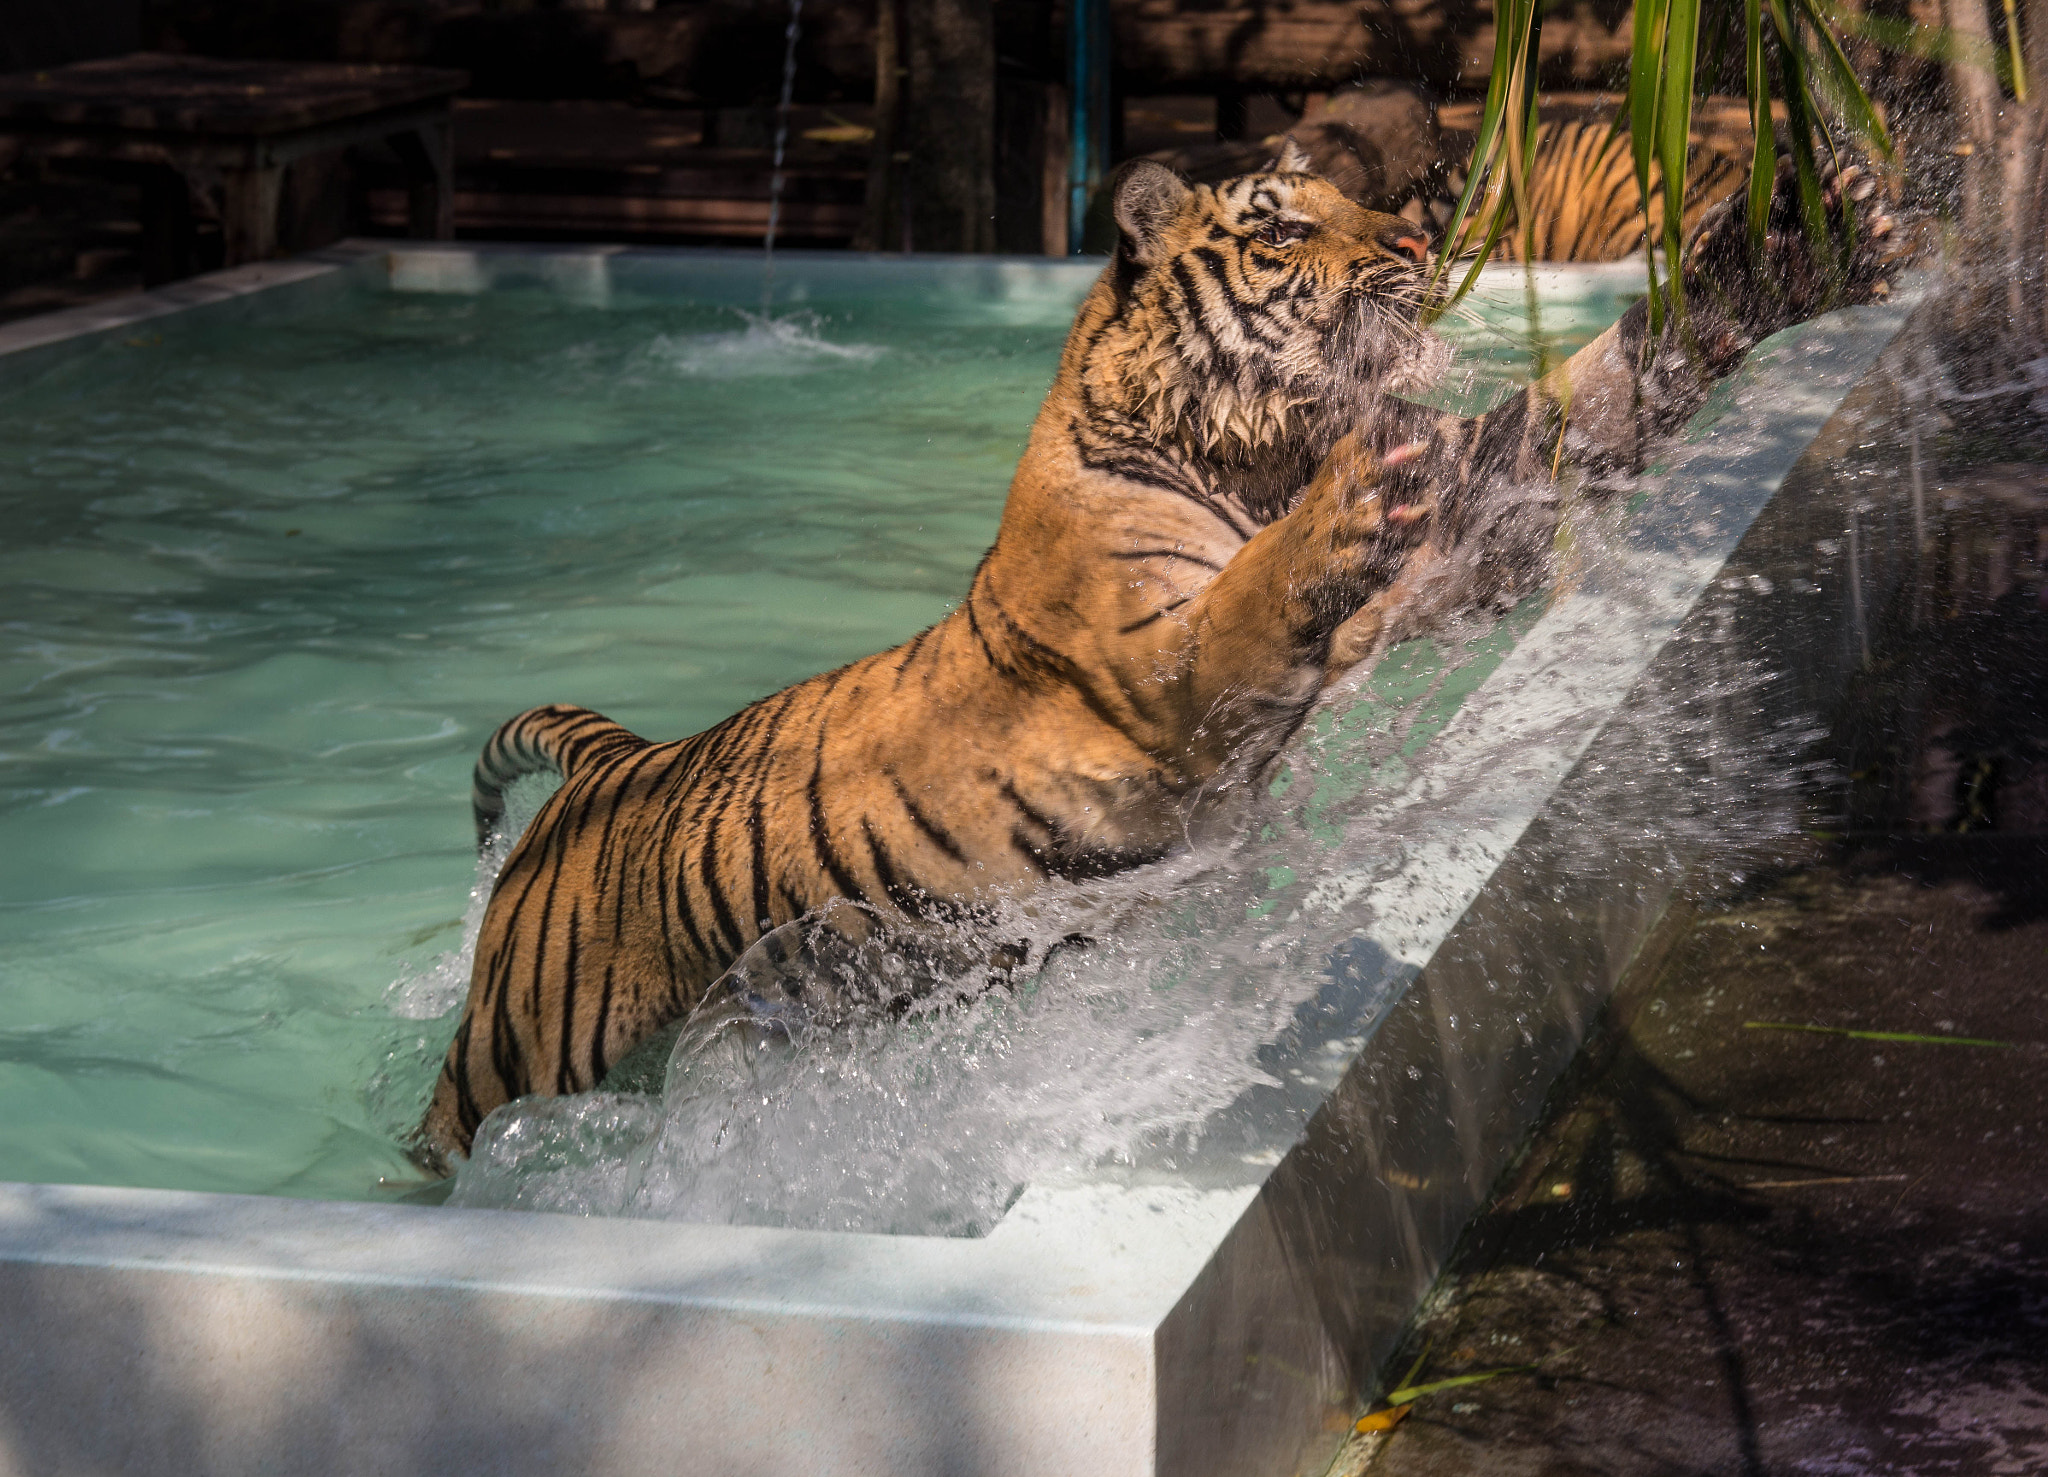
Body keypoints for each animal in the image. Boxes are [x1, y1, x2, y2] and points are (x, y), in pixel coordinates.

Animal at [414, 138, 1897, 1167]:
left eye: (1360, 199)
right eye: (1285, 223)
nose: (1418, 234)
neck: (1246, 452)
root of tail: (623, 758)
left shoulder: (1464, 537)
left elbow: (1578, 402)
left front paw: (1794, 238)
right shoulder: (1167, 682)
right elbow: (1254, 590)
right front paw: (1337, 505)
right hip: (516, 1046)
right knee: (450, 1120)